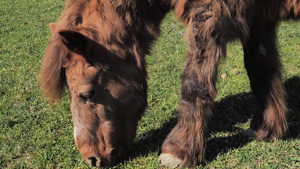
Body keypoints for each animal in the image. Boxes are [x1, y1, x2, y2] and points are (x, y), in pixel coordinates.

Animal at [40, 0, 300, 167]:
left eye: (87, 94)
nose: (92, 159)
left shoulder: (210, 14)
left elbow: (194, 81)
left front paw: (178, 151)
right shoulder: (258, 19)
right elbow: (260, 70)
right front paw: (265, 129)